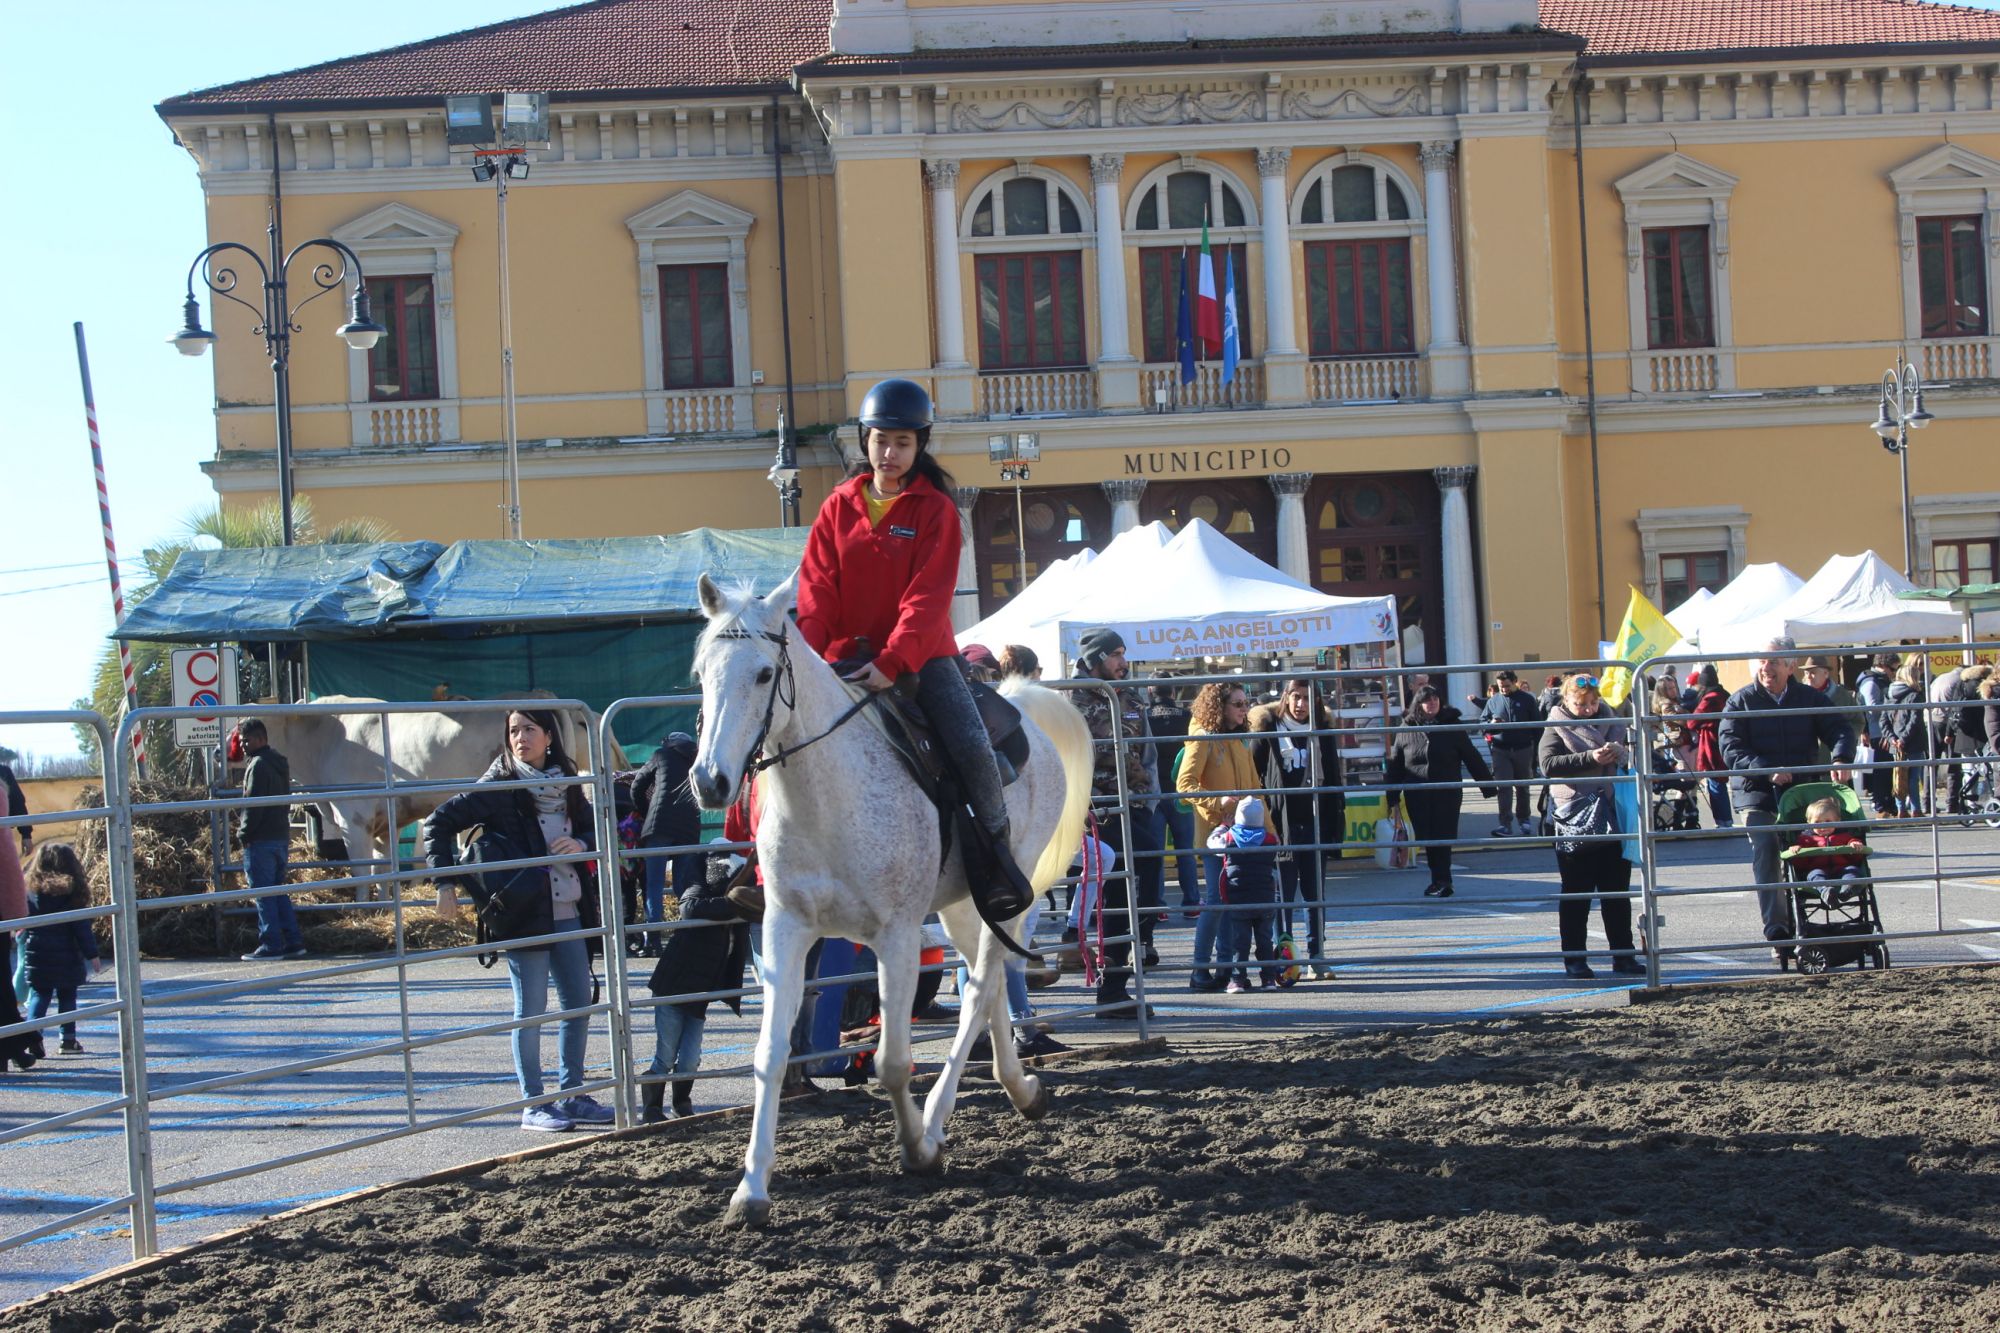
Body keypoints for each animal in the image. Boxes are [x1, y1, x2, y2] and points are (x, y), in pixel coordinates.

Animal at [688, 572, 1096, 1224]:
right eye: (702, 672)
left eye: (763, 673)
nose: (710, 781)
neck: (828, 798)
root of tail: (1019, 705)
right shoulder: (784, 930)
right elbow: (770, 1056)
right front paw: (750, 1191)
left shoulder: (898, 938)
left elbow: (892, 1062)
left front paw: (919, 1150)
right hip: (959, 908)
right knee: (988, 988)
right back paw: (1021, 1088)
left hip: (1010, 899)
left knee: (981, 985)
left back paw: (940, 1118)